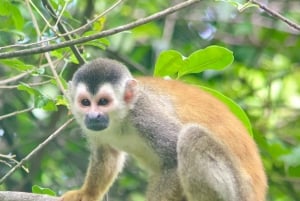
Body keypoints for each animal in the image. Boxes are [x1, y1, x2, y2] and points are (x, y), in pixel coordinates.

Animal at [62, 58, 266, 201]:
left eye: (103, 102)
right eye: (85, 102)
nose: (94, 116)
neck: (121, 118)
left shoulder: (146, 114)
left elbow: (172, 159)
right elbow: (107, 154)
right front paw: (88, 194)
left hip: (237, 191)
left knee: (191, 136)